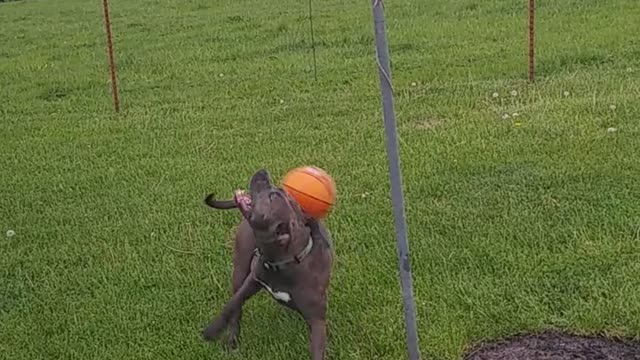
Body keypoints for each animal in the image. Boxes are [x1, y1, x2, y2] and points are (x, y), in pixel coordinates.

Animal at [202, 169, 336, 360]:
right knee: (236, 309)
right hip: (240, 268)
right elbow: (232, 305)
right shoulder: (252, 280)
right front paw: (213, 330)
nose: (263, 171)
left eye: (273, 196)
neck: (285, 263)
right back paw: (233, 337)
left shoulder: (317, 320)